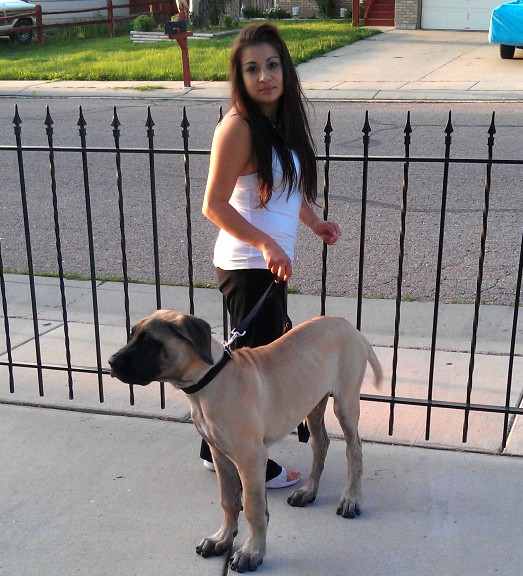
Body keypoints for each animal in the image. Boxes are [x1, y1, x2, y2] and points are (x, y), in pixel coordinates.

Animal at [107, 310, 384, 572]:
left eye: (148, 342)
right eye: (132, 335)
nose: (110, 362)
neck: (209, 380)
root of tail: (349, 326)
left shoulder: (251, 458)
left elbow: (252, 508)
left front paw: (252, 552)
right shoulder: (220, 454)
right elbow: (229, 500)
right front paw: (222, 539)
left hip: (346, 402)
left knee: (354, 450)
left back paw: (351, 499)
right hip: (313, 402)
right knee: (321, 443)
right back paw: (308, 491)